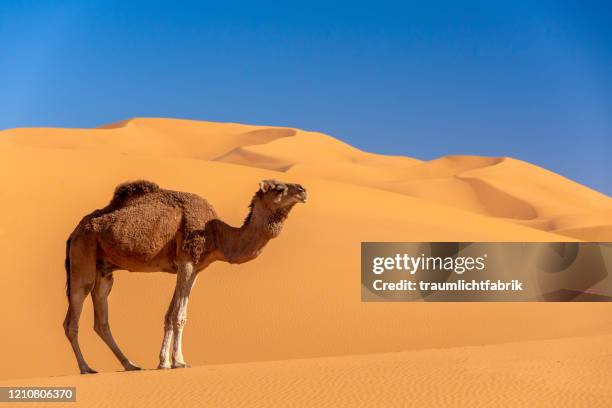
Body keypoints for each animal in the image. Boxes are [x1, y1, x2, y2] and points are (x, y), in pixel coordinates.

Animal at [63, 178, 306, 372]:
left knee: (101, 320)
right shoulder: (187, 261)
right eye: (279, 188)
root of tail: (74, 231)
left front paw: (166, 361)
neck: (216, 235)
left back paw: (130, 364)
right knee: (73, 317)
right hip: (83, 254)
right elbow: (178, 316)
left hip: (104, 269)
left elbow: (172, 314)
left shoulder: (194, 268)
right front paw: (177, 361)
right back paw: (86, 368)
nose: (303, 190)